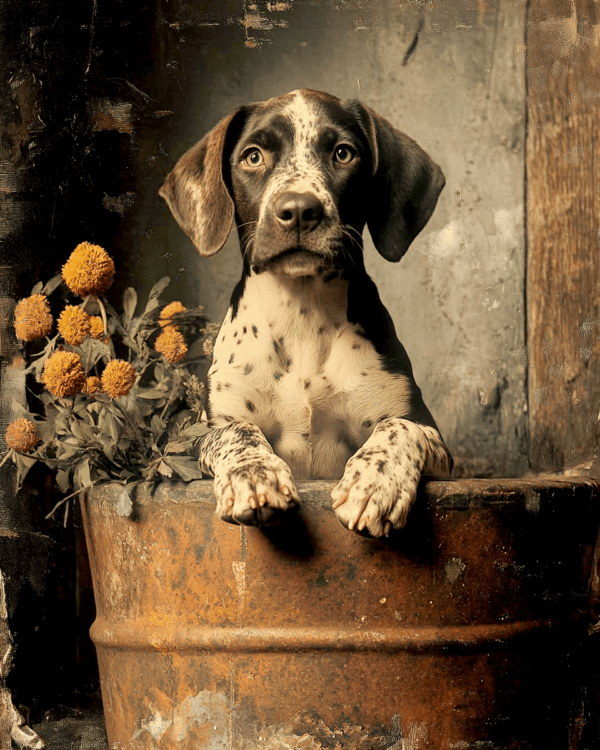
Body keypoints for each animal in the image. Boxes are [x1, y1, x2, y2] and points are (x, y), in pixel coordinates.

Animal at [159, 89, 450, 540]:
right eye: (253, 156)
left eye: (343, 153)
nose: (298, 209)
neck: (302, 312)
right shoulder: (200, 435)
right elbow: (237, 431)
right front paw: (253, 477)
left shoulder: (431, 434)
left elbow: (399, 428)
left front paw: (375, 482)